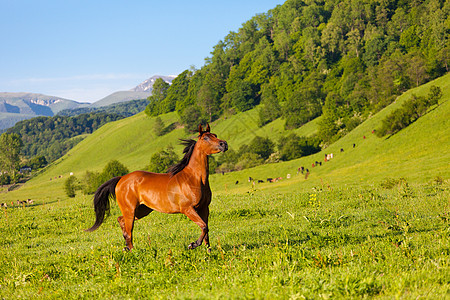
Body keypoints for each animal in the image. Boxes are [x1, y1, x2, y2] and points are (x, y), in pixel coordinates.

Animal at [85, 123, 229, 252]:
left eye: (215, 135)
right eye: (206, 138)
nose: (224, 144)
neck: (194, 179)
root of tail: (121, 179)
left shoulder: (204, 208)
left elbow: (206, 230)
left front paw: (209, 252)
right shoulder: (188, 209)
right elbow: (204, 227)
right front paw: (192, 245)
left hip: (141, 210)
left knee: (121, 221)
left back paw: (126, 247)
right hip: (130, 210)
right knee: (129, 230)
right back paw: (132, 251)